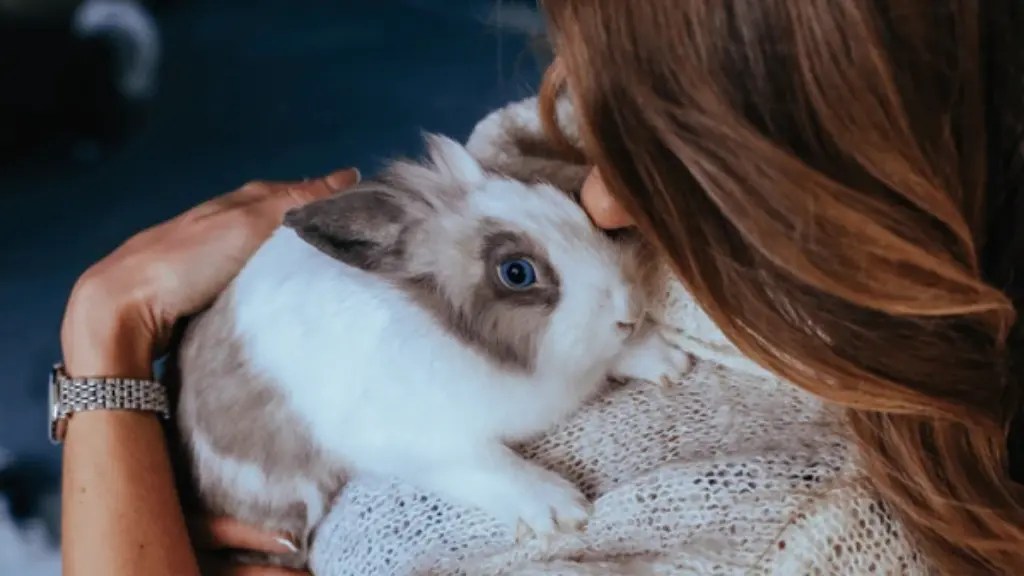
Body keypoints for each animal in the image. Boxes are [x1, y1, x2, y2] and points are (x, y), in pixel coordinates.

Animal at [173, 133, 693, 569]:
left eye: (568, 203)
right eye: (517, 272)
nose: (630, 309)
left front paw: (664, 358)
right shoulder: (417, 440)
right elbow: (488, 463)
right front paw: (559, 508)